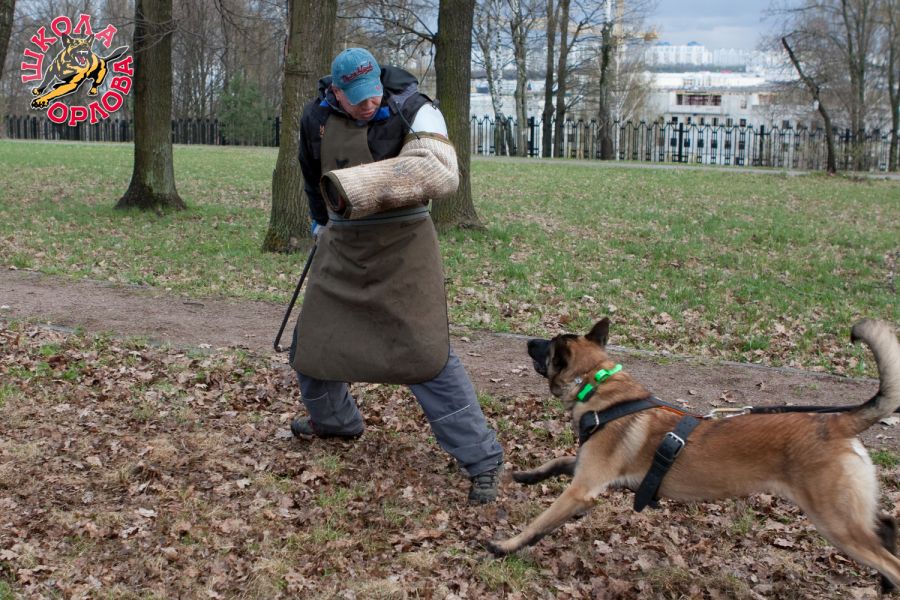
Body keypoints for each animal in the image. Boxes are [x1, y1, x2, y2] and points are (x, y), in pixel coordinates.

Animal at [486, 317, 900, 591]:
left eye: (547, 344)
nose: (527, 341)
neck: (599, 386)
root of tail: (837, 422)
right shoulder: (592, 476)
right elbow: (559, 464)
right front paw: (528, 475)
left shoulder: (582, 488)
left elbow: (539, 521)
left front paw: (505, 546)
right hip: (849, 514)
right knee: (886, 527)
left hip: (836, 523)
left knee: (889, 559)